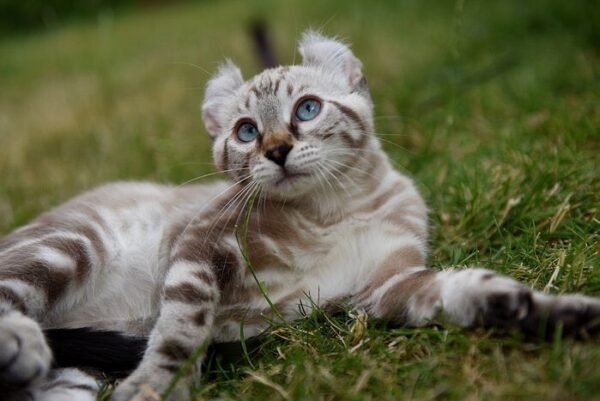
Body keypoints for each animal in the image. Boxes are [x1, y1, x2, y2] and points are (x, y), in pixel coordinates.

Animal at [1, 31, 600, 400]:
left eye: (306, 109)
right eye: (246, 131)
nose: (277, 150)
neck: (333, 212)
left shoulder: (386, 285)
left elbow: (469, 288)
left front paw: (547, 311)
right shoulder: (201, 247)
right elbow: (180, 330)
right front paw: (156, 383)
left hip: (77, 371)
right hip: (69, 246)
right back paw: (19, 343)